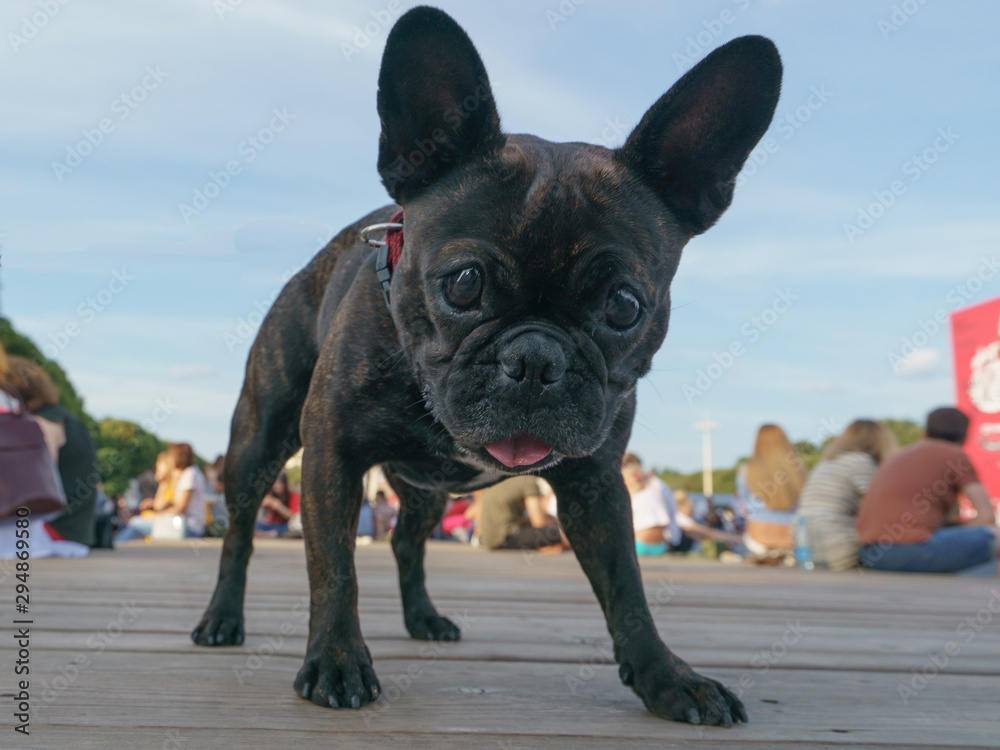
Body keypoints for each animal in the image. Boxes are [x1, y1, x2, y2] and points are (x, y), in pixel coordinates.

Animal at [193, 2, 780, 724]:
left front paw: (666, 676)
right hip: (259, 442)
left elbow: (628, 590)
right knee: (241, 534)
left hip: (422, 492)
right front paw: (336, 659)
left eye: (624, 306)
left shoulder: (595, 488)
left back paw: (423, 618)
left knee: (407, 542)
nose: (535, 358)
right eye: (464, 284)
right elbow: (334, 567)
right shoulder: (331, 457)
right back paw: (223, 619)